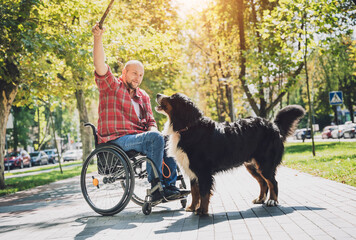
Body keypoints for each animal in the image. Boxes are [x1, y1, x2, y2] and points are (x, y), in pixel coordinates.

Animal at [156, 93, 306, 215]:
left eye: (172, 98)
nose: (158, 94)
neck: (187, 127)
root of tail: (273, 125)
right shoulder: (192, 169)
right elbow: (194, 191)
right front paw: (192, 208)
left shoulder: (203, 170)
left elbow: (203, 193)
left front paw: (202, 211)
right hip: (252, 165)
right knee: (263, 182)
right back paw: (260, 199)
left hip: (265, 164)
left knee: (273, 182)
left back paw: (272, 201)